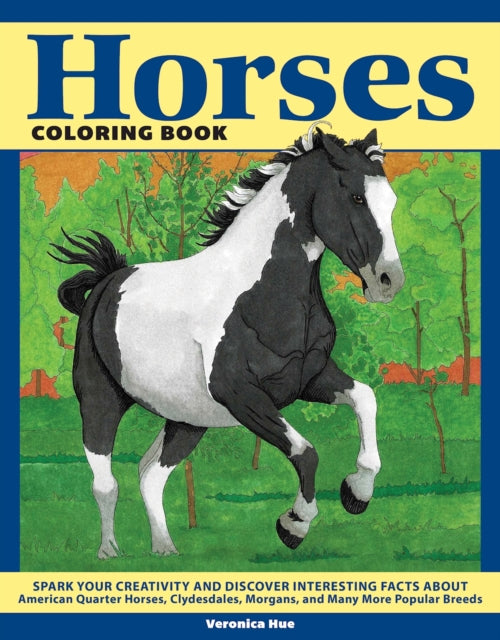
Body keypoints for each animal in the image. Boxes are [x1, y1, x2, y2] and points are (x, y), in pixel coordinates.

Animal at [51, 123, 405, 558]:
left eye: (390, 201)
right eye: (356, 196)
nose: (388, 282)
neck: (262, 295)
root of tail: (106, 280)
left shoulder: (308, 379)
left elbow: (366, 399)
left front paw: (356, 493)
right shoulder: (241, 394)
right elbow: (306, 453)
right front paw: (293, 525)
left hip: (186, 421)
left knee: (150, 475)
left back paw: (165, 551)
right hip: (101, 401)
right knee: (105, 483)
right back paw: (110, 553)